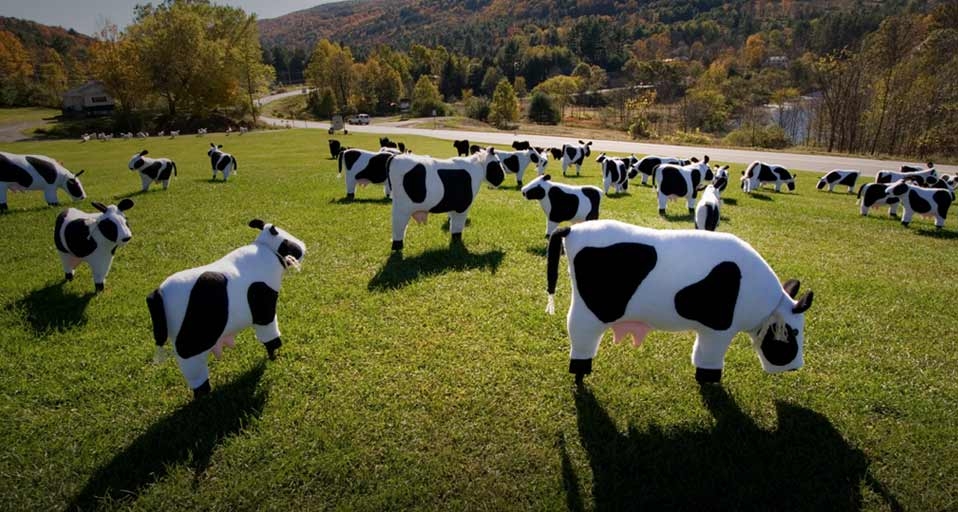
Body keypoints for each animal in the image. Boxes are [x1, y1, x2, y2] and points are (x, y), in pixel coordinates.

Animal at [147, 219, 306, 398]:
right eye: (287, 240)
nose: (303, 244)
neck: (266, 249)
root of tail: (158, 293)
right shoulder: (264, 309)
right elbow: (271, 338)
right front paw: (273, 357)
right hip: (189, 347)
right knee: (195, 374)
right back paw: (205, 396)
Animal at [545, 219, 814, 384]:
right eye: (795, 331)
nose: (797, 366)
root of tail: (572, 230)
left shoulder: (708, 329)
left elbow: (699, 354)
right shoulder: (720, 328)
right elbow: (710, 359)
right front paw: (710, 383)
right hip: (588, 314)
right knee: (579, 337)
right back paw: (580, 376)